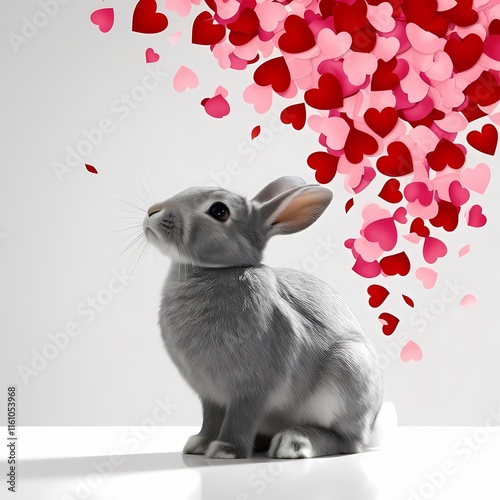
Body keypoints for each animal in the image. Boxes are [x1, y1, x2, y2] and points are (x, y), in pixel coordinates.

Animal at [143, 175, 388, 458]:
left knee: (345, 441)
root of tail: (371, 426)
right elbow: (211, 419)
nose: (153, 211)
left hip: (348, 372)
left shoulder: (253, 388)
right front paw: (199, 444)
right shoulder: (210, 394)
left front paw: (226, 449)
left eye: (219, 211)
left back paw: (293, 442)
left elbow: (241, 417)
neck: (220, 269)